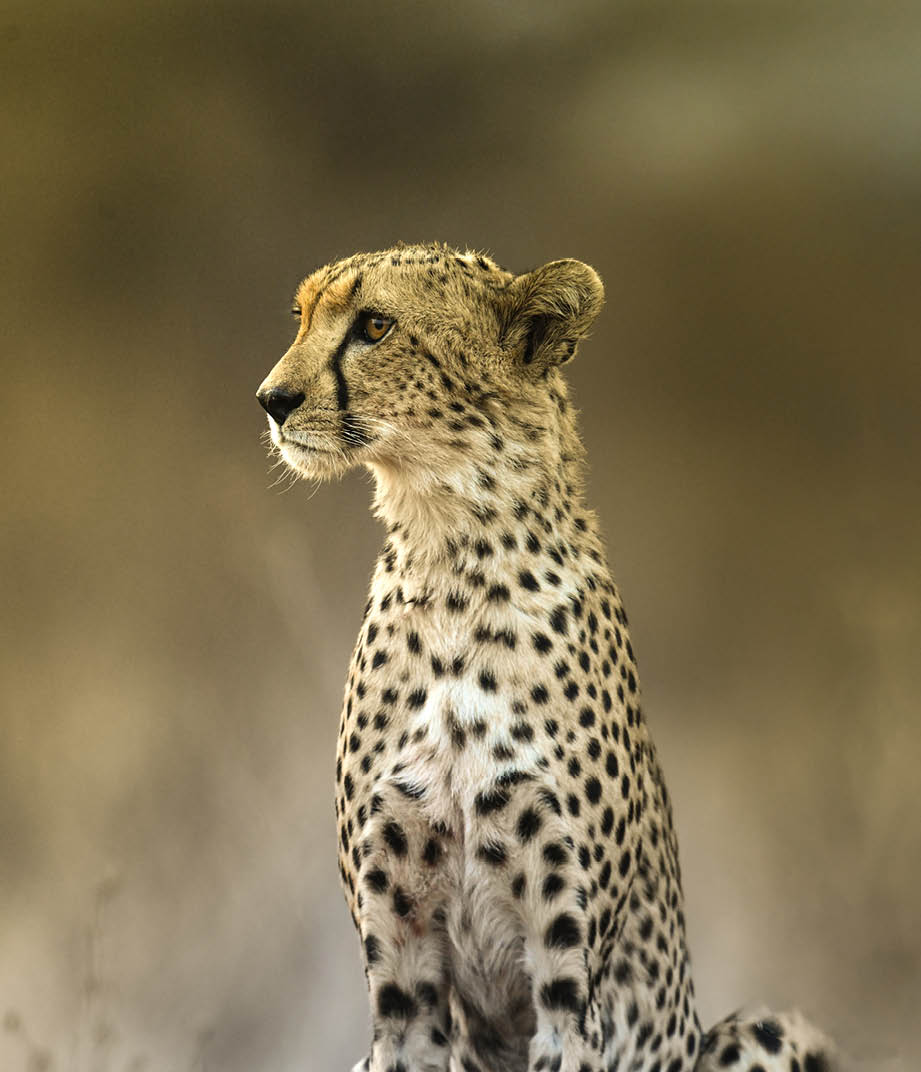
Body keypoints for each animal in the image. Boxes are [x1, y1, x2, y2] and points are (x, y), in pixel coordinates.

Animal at [256, 242, 839, 1072]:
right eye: (301, 316)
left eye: (374, 325)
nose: (271, 399)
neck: (449, 556)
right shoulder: (401, 987)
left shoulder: (566, 985)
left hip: (768, 1026)